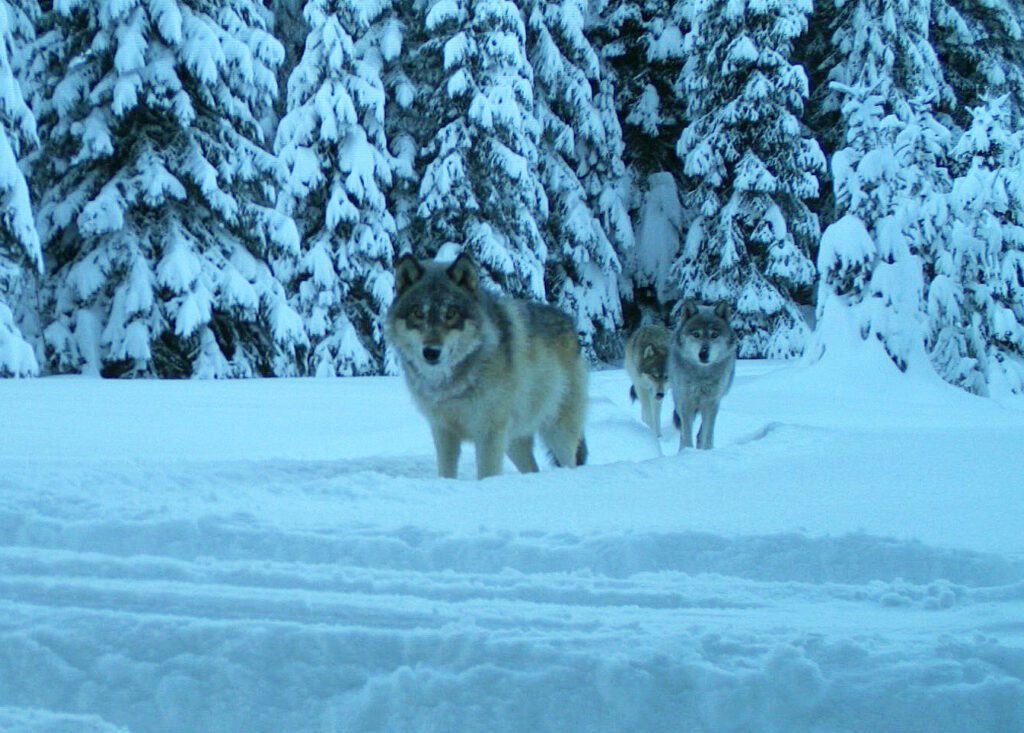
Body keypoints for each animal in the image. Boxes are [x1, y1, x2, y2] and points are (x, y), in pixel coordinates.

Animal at [384, 253, 588, 480]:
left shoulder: (489, 434)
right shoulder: (443, 432)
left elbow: (487, 474)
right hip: (514, 442)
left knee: (569, 462)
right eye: (418, 314)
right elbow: (446, 473)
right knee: (532, 468)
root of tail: (570, 322)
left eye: (451, 313)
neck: (451, 384)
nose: (431, 352)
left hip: (557, 432)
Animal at [668, 301, 737, 450]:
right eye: (696, 334)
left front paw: (706, 451)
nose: (703, 353)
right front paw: (687, 451)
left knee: (701, 434)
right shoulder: (686, 403)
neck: (702, 376)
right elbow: (686, 435)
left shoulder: (712, 403)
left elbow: (707, 434)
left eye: (714, 335)